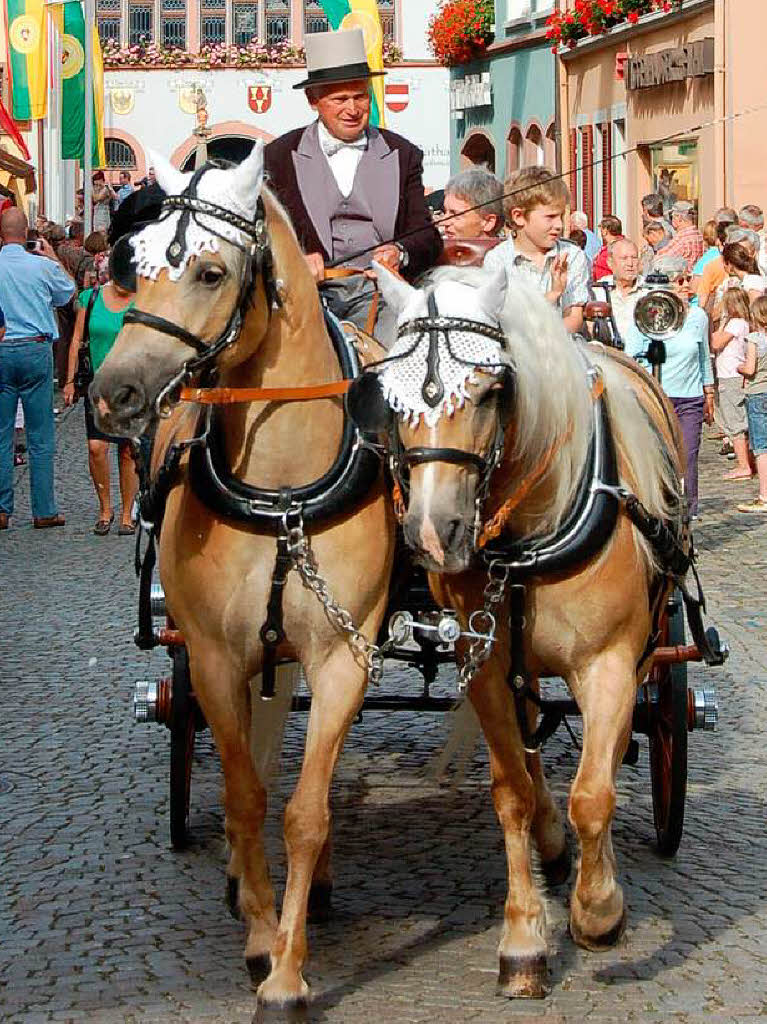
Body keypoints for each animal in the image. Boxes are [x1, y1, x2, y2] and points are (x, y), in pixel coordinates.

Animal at [89, 144, 395, 1007]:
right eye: (131, 263)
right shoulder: (217, 657)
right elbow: (244, 795)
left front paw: (289, 971)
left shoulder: (341, 655)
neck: (283, 488)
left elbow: (305, 810)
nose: (112, 393)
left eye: (211, 271)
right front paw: (261, 936)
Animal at [348, 264, 688, 999]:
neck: (533, 525)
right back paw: (550, 844)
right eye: (388, 399)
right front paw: (525, 941)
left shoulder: (611, 662)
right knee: (530, 750)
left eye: (492, 390)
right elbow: (511, 794)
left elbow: (594, 793)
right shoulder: (482, 656)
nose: (431, 533)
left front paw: (598, 912)